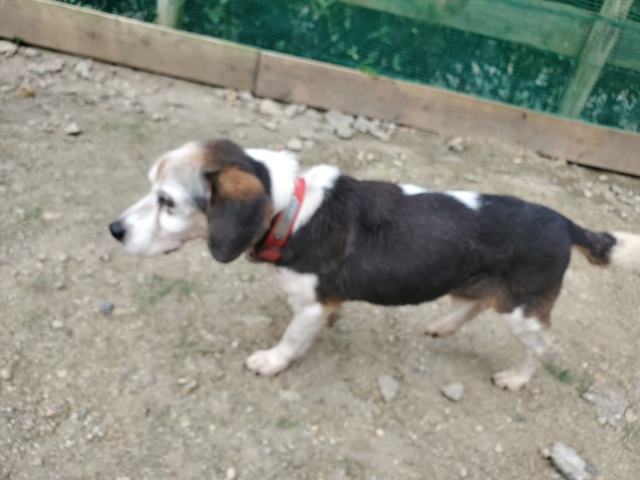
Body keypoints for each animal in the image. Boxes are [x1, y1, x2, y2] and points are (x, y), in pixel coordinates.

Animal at [109, 139, 640, 390]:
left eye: (167, 202)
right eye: (151, 189)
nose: (114, 229)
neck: (292, 210)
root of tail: (566, 223)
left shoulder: (308, 306)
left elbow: (291, 339)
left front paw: (272, 362)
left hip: (523, 311)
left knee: (542, 346)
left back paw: (517, 377)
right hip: (483, 286)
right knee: (472, 303)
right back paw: (445, 325)